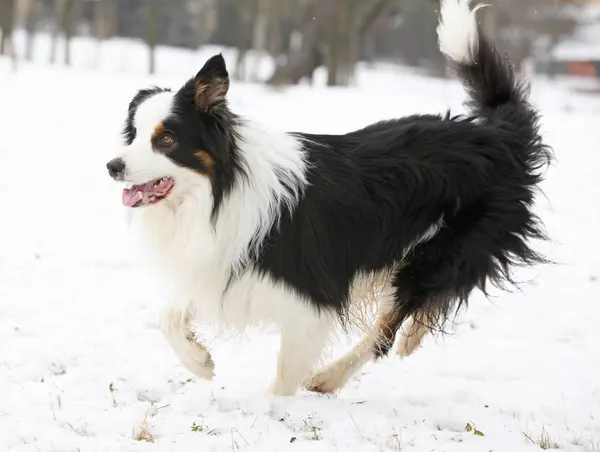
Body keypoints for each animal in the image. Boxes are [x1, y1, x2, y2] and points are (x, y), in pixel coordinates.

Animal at [105, 0, 552, 396]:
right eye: (134, 135)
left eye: (166, 139)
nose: (112, 166)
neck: (216, 192)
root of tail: (495, 134)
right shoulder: (222, 266)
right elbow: (168, 315)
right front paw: (200, 362)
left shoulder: (312, 295)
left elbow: (289, 366)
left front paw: (272, 409)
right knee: (415, 312)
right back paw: (410, 339)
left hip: (439, 252)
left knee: (386, 330)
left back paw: (331, 377)